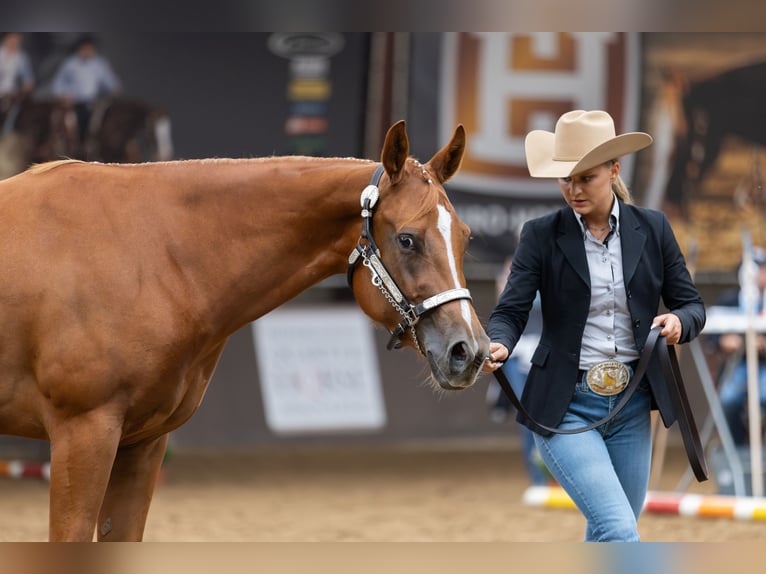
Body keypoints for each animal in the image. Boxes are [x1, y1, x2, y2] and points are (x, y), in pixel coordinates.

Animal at [0, 121, 492, 544]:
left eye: (466, 237)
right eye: (407, 239)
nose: (467, 350)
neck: (149, 252)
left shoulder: (142, 445)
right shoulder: (84, 435)